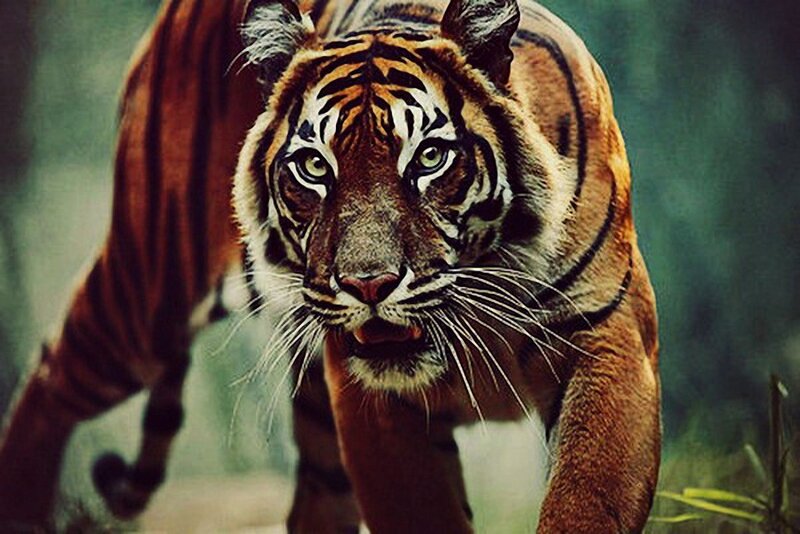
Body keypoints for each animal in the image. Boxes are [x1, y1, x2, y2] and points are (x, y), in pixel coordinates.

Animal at [0, 0, 660, 532]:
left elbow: (586, 500)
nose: (369, 285)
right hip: (149, 291)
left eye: (430, 157)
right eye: (314, 166)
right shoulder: (371, 401)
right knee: (52, 376)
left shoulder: (611, 341)